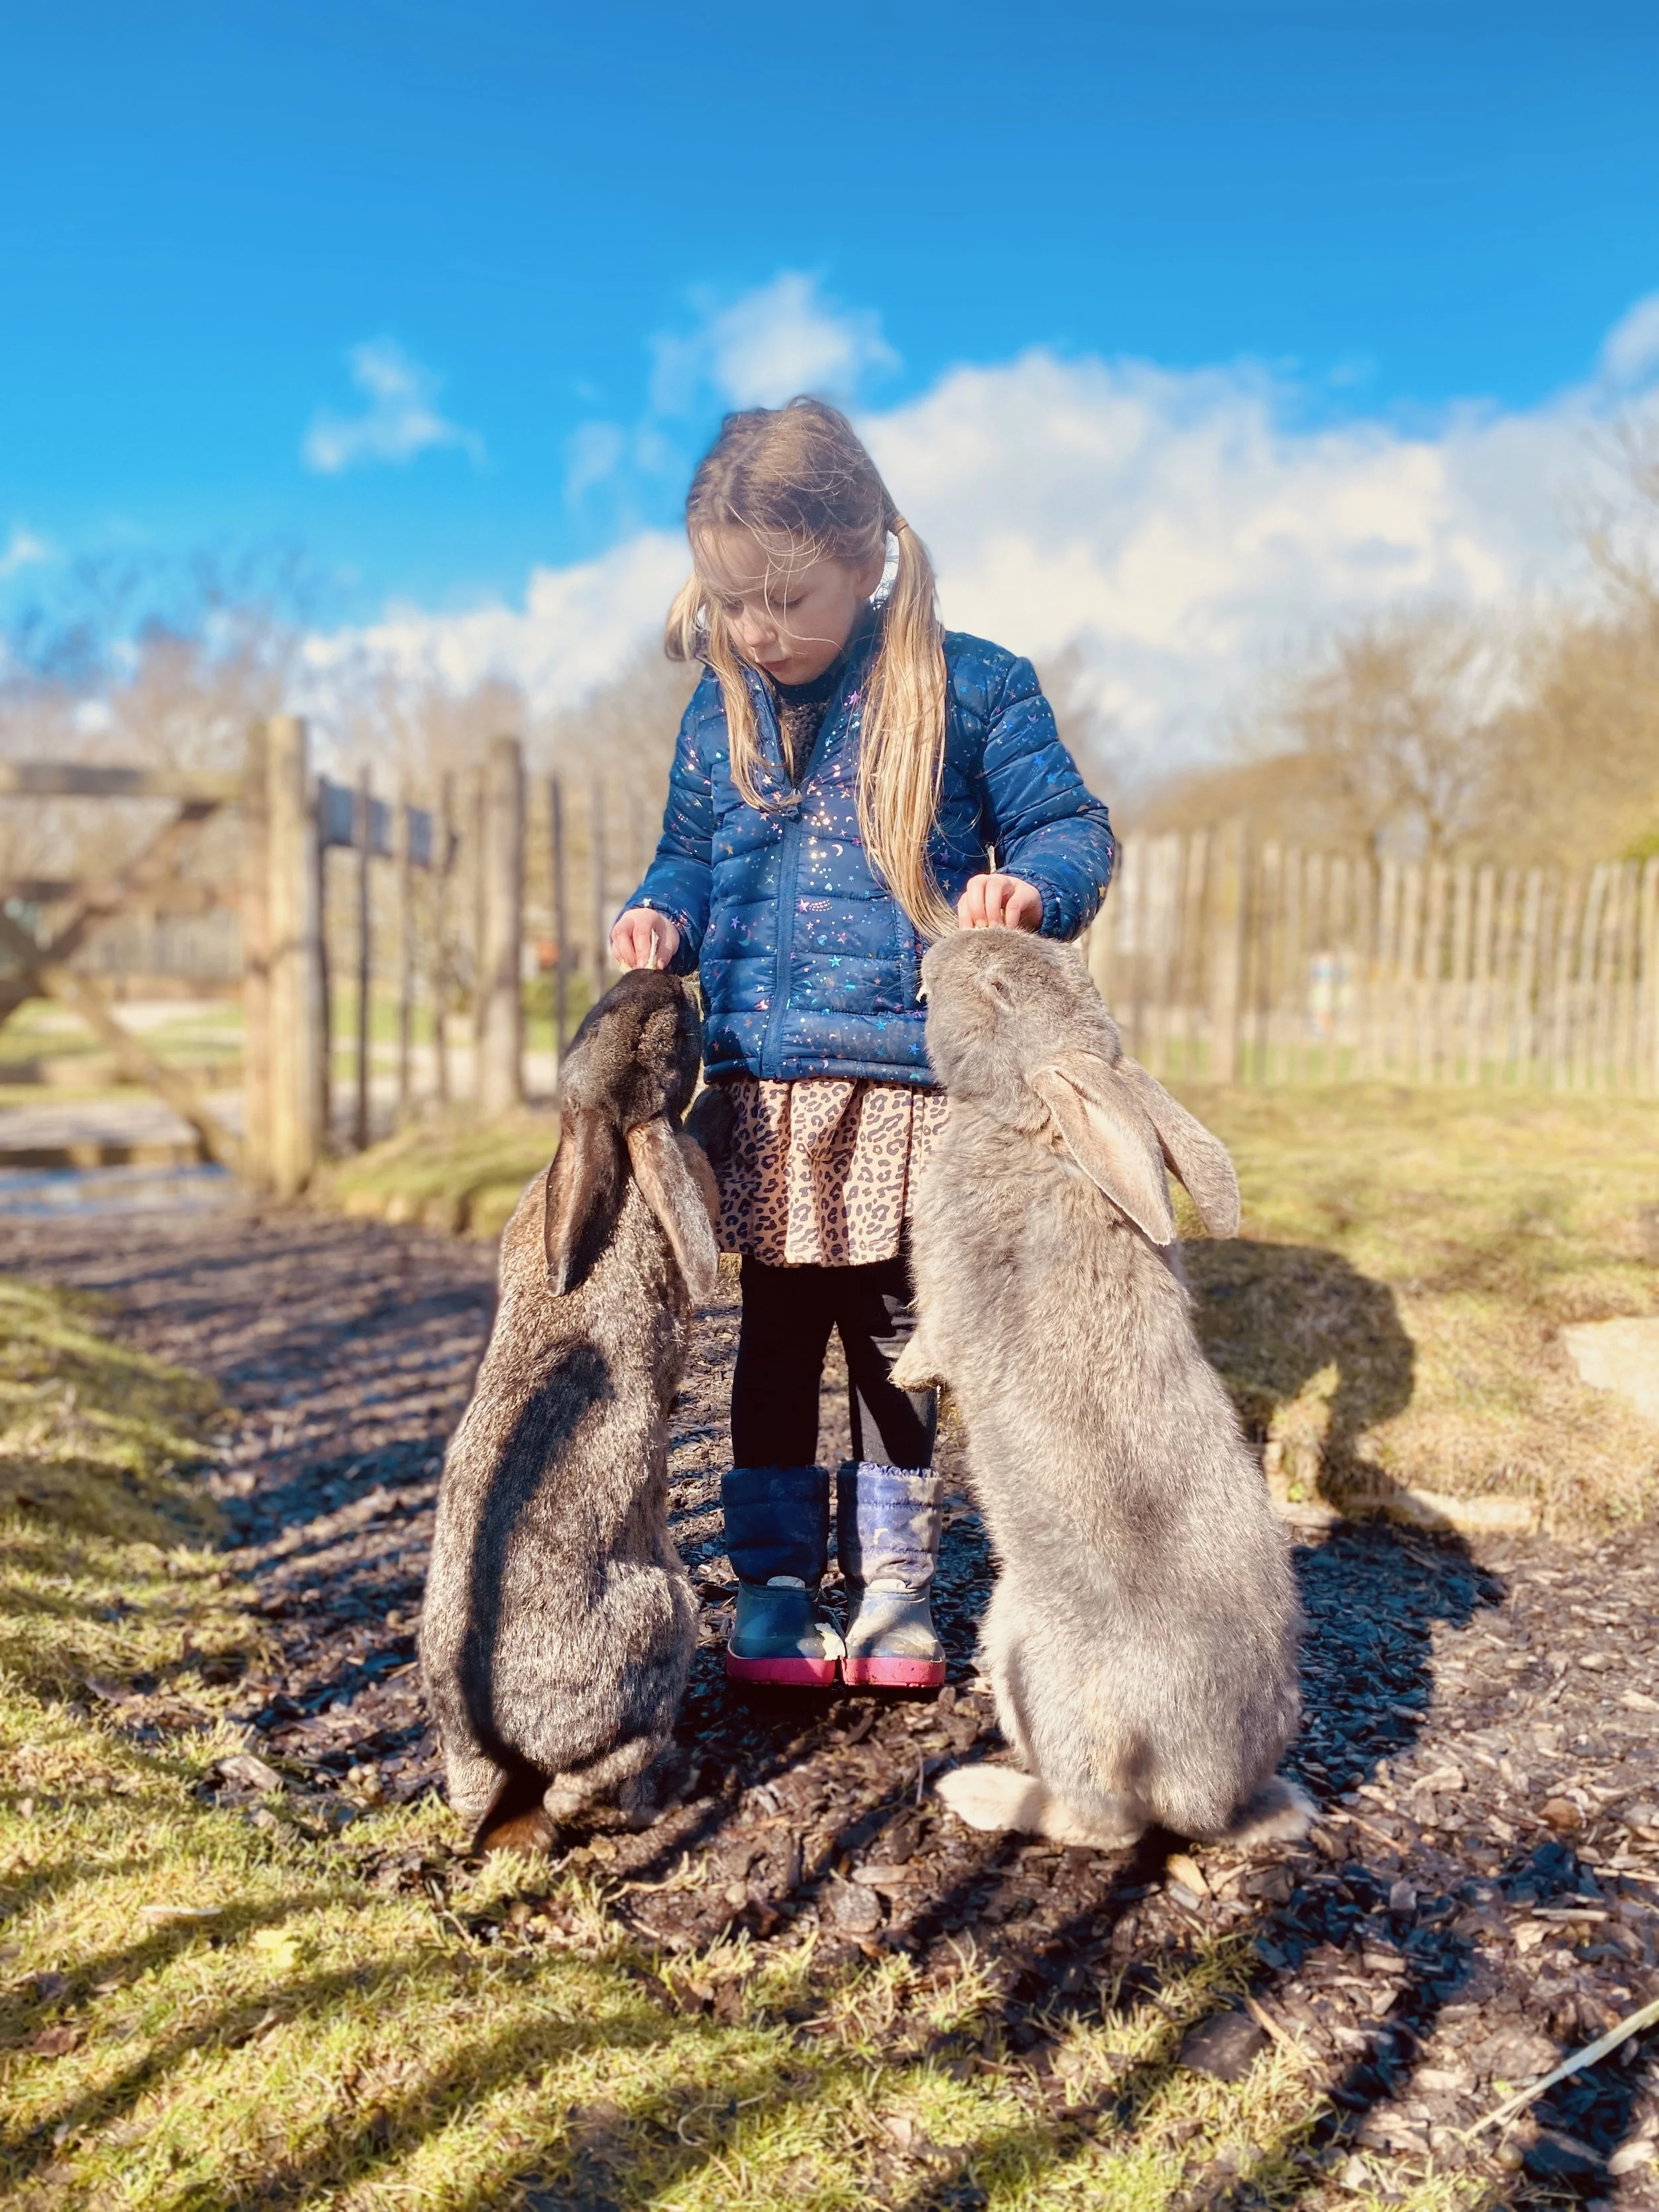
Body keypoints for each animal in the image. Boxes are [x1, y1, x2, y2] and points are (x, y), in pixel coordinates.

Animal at [418, 967, 720, 1855]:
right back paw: (674, 1788)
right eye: (672, 1035)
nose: (669, 977)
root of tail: (507, 1741)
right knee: (586, 1790)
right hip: (669, 1616)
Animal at [890, 928, 1312, 1851]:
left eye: (998, 987)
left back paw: (981, 1793)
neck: (1038, 1131)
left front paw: (905, 1369)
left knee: (1103, 1825)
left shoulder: (944, 1285)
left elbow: (936, 1334)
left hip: (1027, 1647)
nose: (940, 951)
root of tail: (1204, 1804)